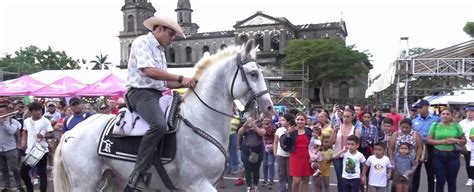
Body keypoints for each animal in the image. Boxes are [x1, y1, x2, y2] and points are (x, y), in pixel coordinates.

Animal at [51, 39, 272, 191]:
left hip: (114, 177)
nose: (269, 107)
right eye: (253, 73)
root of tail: (70, 133)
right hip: (84, 182)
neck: (201, 121)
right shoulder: (198, 183)